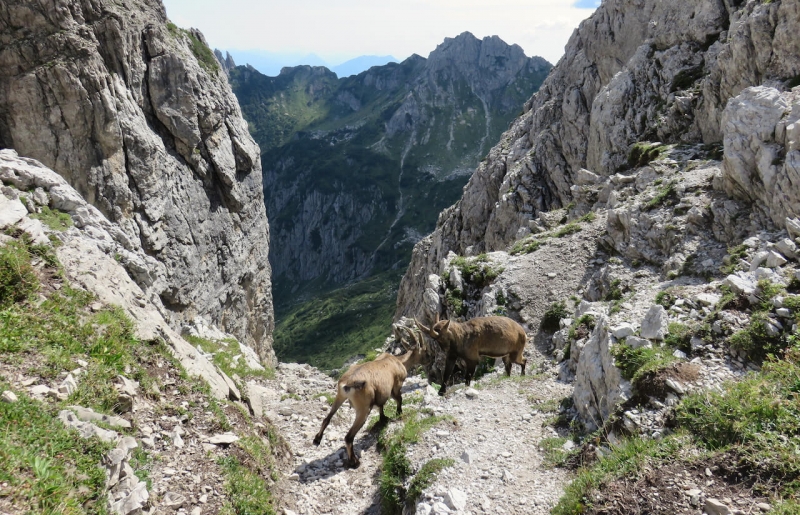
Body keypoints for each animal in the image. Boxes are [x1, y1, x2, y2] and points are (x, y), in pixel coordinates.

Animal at [312, 328, 432, 470]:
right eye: (425, 351)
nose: (430, 359)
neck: (399, 361)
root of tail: (346, 384)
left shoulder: (381, 392)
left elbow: (381, 405)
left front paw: (383, 418)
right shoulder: (395, 386)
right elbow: (399, 399)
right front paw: (398, 414)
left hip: (339, 397)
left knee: (327, 418)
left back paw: (317, 440)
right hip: (363, 408)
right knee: (348, 437)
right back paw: (354, 462)